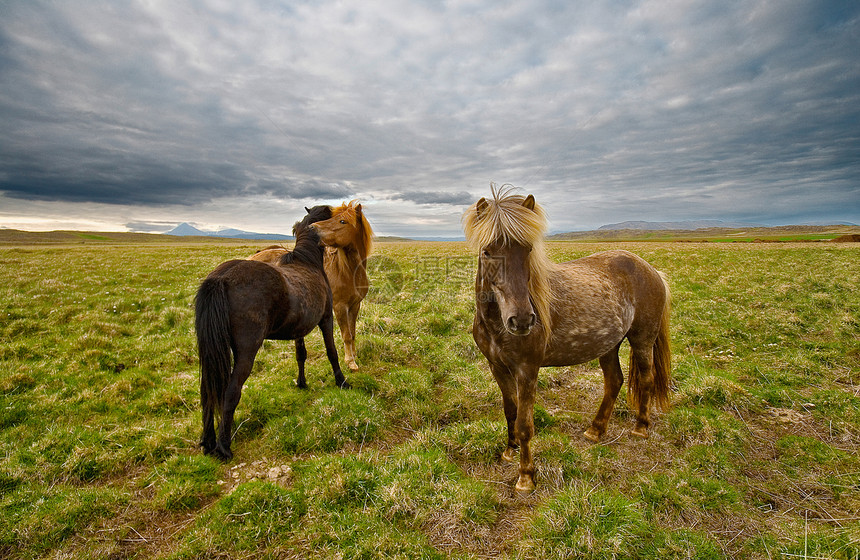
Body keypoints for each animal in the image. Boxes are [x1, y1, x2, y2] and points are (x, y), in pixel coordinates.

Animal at [464, 187, 672, 490]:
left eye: (528, 249)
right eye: (487, 251)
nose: (522, 320)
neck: (495, 324)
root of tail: (651, 270)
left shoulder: (527, 370)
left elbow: (525, 424)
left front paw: (526, 476)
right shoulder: (497, 367)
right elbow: (510, 411)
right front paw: (508, 452)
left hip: (642, 339)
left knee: (645, 379)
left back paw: (640, 427)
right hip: (609, 344)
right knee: (614, 381)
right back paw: (595, 430)